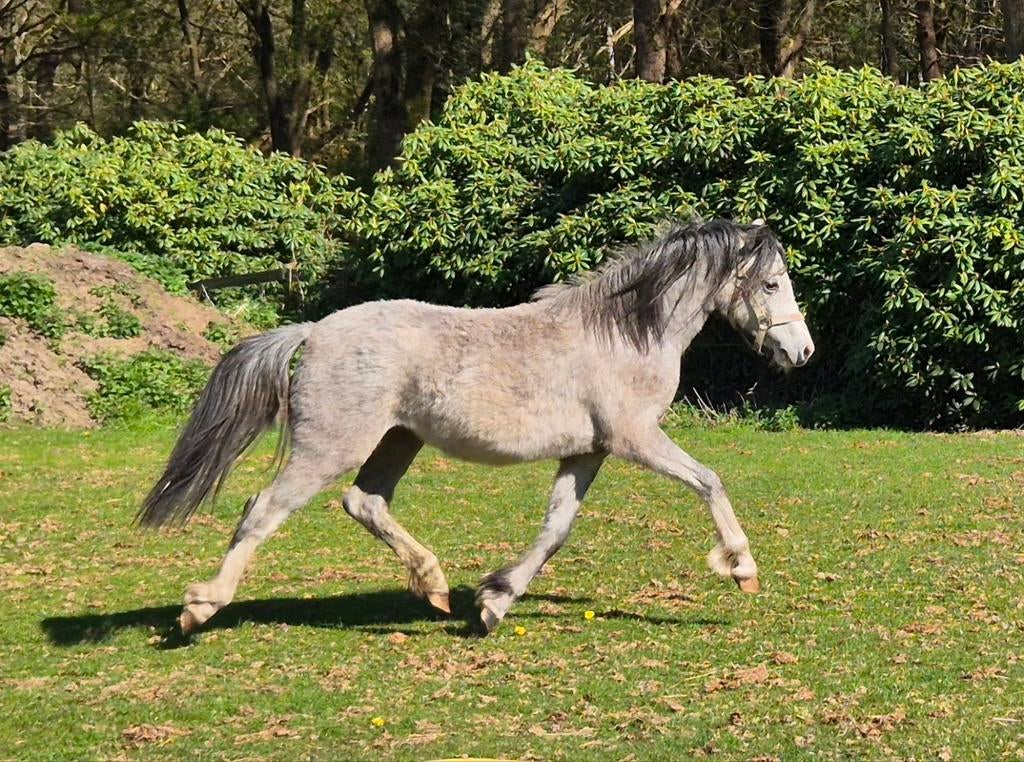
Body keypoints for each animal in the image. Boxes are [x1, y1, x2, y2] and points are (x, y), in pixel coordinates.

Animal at [139, 219, 814, 635]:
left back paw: (434, 586)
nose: (802, 352)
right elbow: (709, 481)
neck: (624, 333)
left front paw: (493, 602)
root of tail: (314, 330)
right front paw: (743, 569)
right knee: (263, 509)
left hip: (397, 440)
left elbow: (555, 530)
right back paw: (199, 609)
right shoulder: (635, 439)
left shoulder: (588, 453)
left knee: (364, 502)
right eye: (772, 283)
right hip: (330, 445)